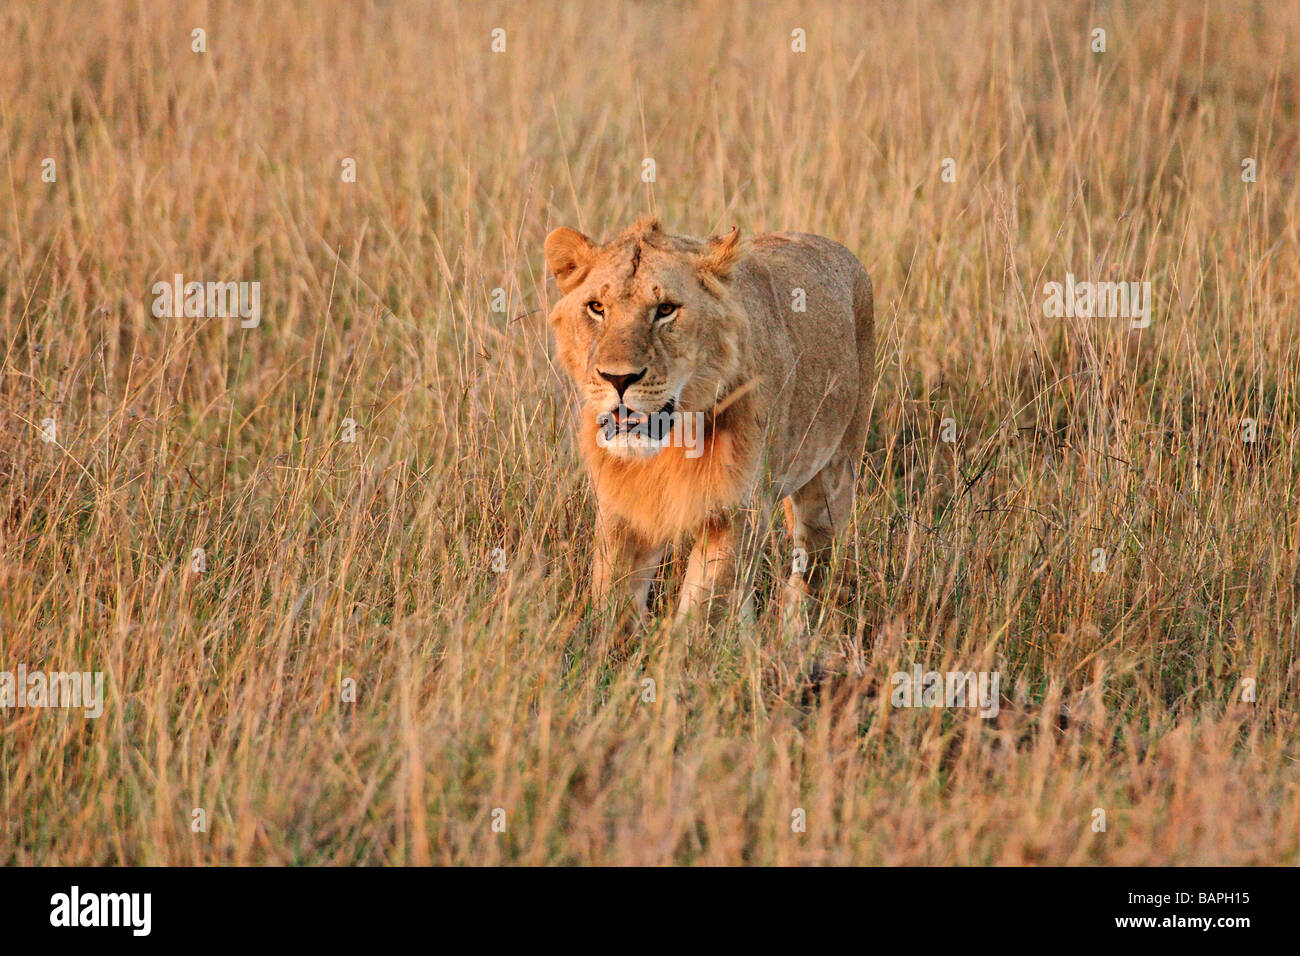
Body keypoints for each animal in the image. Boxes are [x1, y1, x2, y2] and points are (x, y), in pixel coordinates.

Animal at [544, 218, 873, 626]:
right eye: (596, 307)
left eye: (666, 309)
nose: (618, 379)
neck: (670, 446)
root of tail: (836, 248)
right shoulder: (622, 511)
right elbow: (611, 601)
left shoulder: (734, 512)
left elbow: (702, 608)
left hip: (833, 478)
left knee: (812, 575)